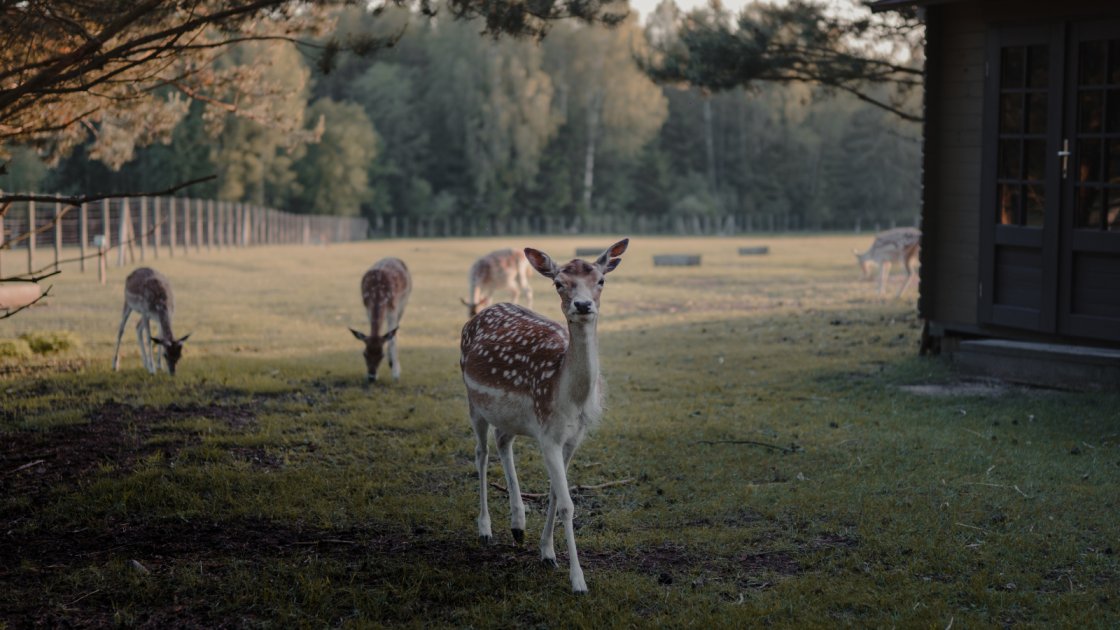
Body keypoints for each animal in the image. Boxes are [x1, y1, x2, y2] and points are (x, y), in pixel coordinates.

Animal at [460, 238, 629, 593]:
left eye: (601, 280)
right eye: (558, 283)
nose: (582, 305)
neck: (569, 397)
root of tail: (477, 315)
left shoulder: (574, 437)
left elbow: (554, 492)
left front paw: (547, 553)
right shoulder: (547, 434)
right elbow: (566, 503)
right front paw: (578, 580)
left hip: (509, 418)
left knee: (502, 442)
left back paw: (518, 525)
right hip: (472, 400)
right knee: (481, 453)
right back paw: (485, 529)